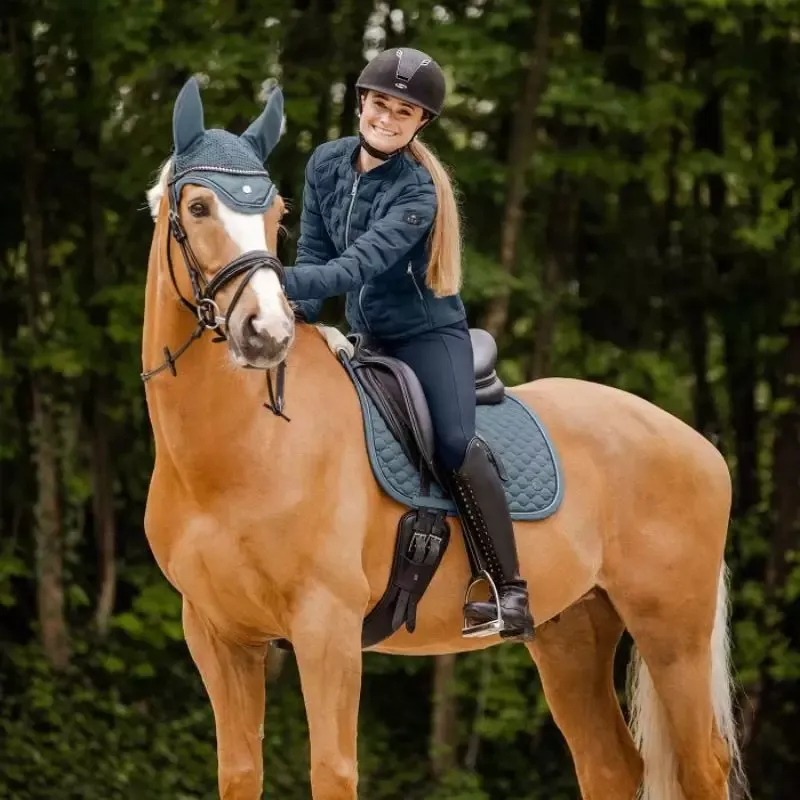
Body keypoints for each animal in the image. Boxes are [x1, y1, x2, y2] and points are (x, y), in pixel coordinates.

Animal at [141, 76, 746, 800]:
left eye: (277, 213)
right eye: (199, 205)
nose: (266, 332)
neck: (240, 452)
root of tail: (696, 443)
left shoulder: (326, 628)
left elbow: (331, 770)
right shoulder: (219, 636)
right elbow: (239, 772)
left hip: (672, 634)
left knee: (702, 765)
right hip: (571, 632)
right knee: (609, 765)